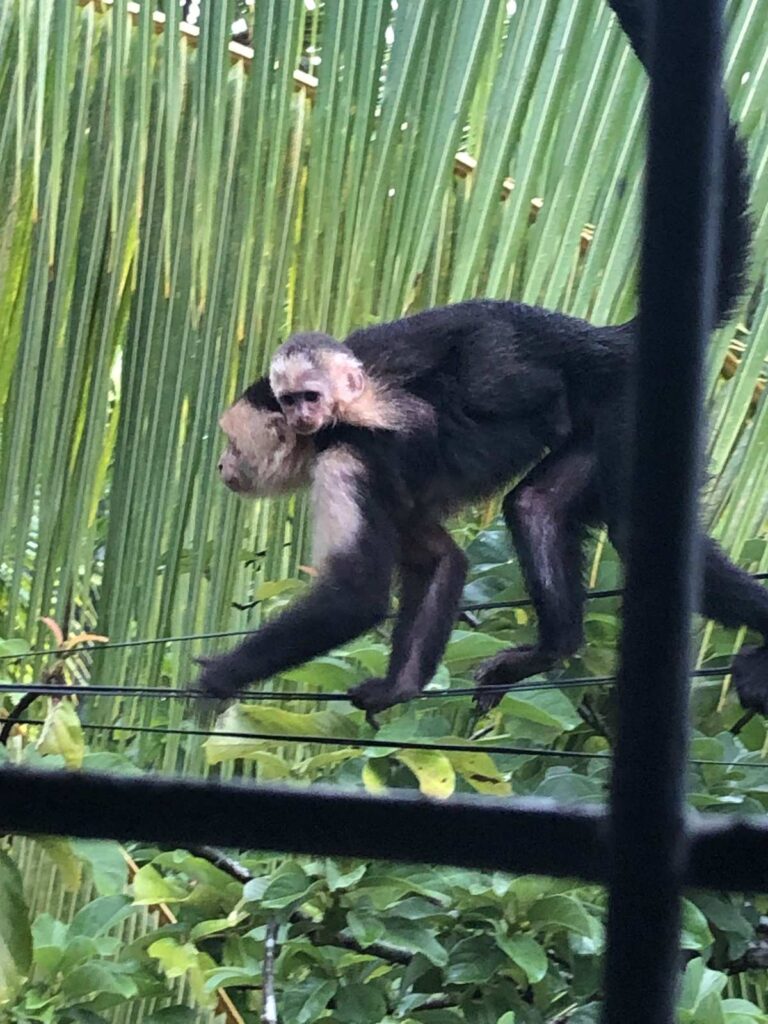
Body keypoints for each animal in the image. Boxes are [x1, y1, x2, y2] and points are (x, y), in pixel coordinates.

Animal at [196, 0, 768, 718]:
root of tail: (604, 337)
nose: (222, 466)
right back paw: (552, 649)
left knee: (637, 531)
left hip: (629, 401)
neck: (322, 437)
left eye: (233, 444)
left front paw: (221, 676)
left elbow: (355, 597)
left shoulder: (349, 462)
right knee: (535, 507)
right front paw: (398, 686)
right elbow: (443, 562)